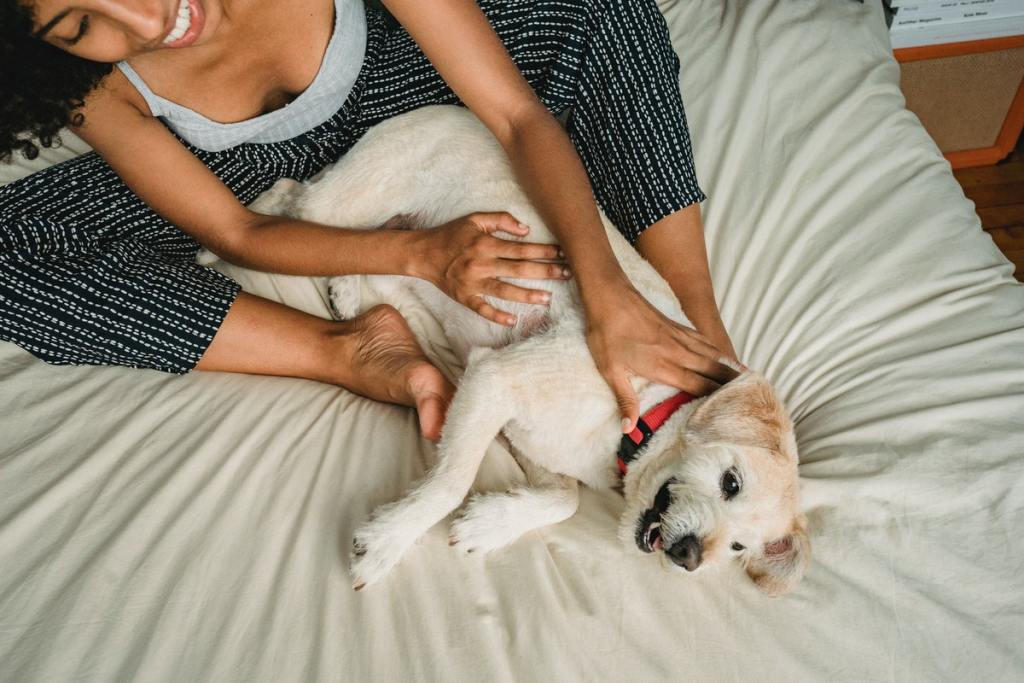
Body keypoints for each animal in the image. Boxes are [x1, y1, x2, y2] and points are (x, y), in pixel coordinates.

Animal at [251, 105, 811, 593]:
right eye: (731, 482)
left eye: (738, 548)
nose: (690, 557)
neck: (638, 422)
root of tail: (445, 108)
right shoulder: (497, 378)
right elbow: (452, 482)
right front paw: (389, 540)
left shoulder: (524, 434)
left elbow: (565, 499)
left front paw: (487, 525)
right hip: (348, 199)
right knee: (293, 202)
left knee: (381, 256)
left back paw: (353, 288)